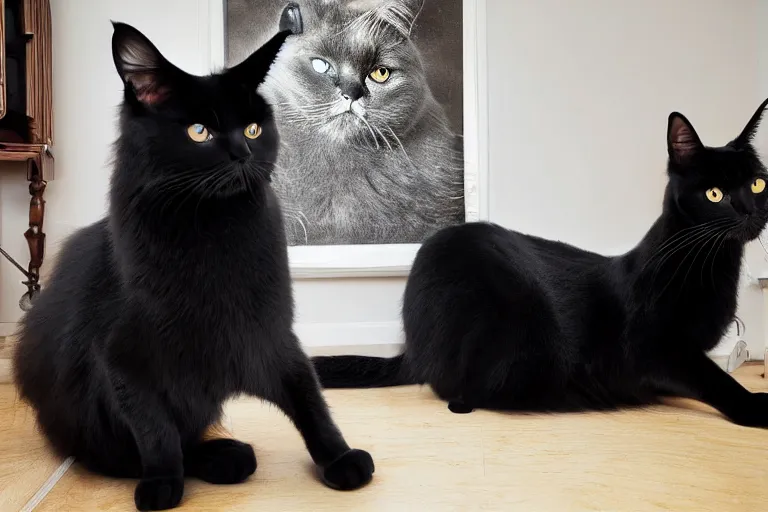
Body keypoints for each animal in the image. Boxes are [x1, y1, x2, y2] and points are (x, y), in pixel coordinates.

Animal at [12, 22, 372, 510]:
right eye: (199, 132)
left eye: (253, 129)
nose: (243, 155)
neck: (212, 229)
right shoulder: (125, 360)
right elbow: (155, 431)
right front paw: (163, 483)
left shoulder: (270, 334)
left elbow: (309, 399)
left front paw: (338, 458)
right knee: (131, 453)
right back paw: (215, 459)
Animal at [312, 98, 768, 426]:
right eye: (714, 194)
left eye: (758, 183)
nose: (750, 211)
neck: (714, 264)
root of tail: (412, 346)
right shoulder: (657, 349)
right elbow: (714, 379)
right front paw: (755, 407)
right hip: (514, 308)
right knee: (461, 389)